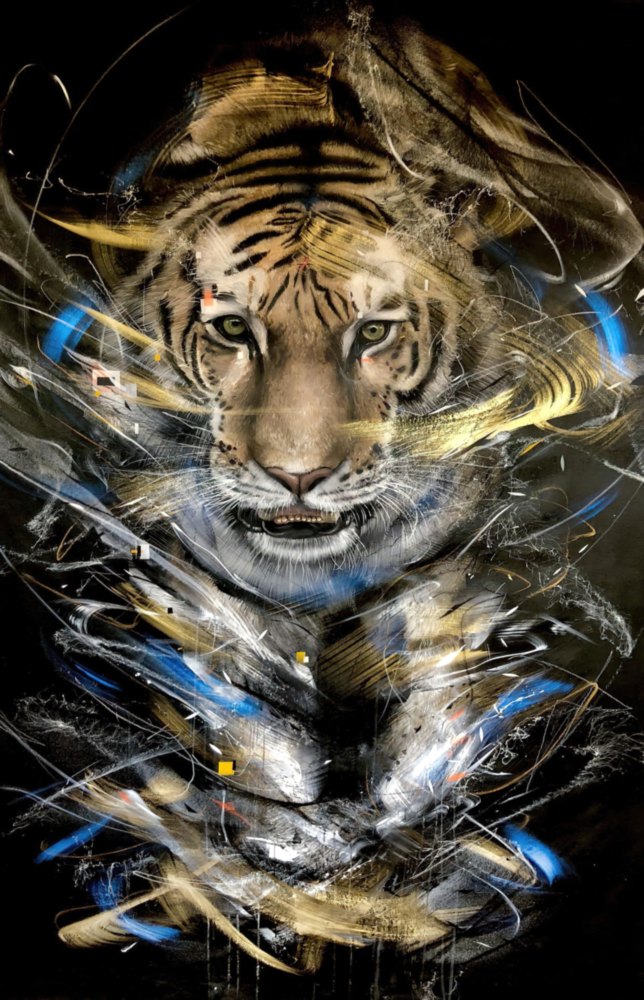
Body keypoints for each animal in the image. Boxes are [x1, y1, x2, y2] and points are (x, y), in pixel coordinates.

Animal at [1, 3, 643, 990]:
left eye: (373, 333)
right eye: (233, 329)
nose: (297, 473)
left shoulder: (441, 550)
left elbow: (426, 673)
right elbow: (235, 697)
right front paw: (283, 855)